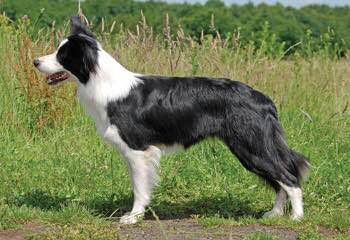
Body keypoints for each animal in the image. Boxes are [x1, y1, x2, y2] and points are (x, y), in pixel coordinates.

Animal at [34, 15, 308, 224]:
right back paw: (273, 214)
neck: (101, 82)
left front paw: (133, 217)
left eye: (62, 55)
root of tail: (264, 99)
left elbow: (139, 188)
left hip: (252, 145)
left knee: (289, 178)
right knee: (279, 181)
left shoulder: (138, 149)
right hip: (251, 149)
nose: (35, 61)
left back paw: (296, 218)